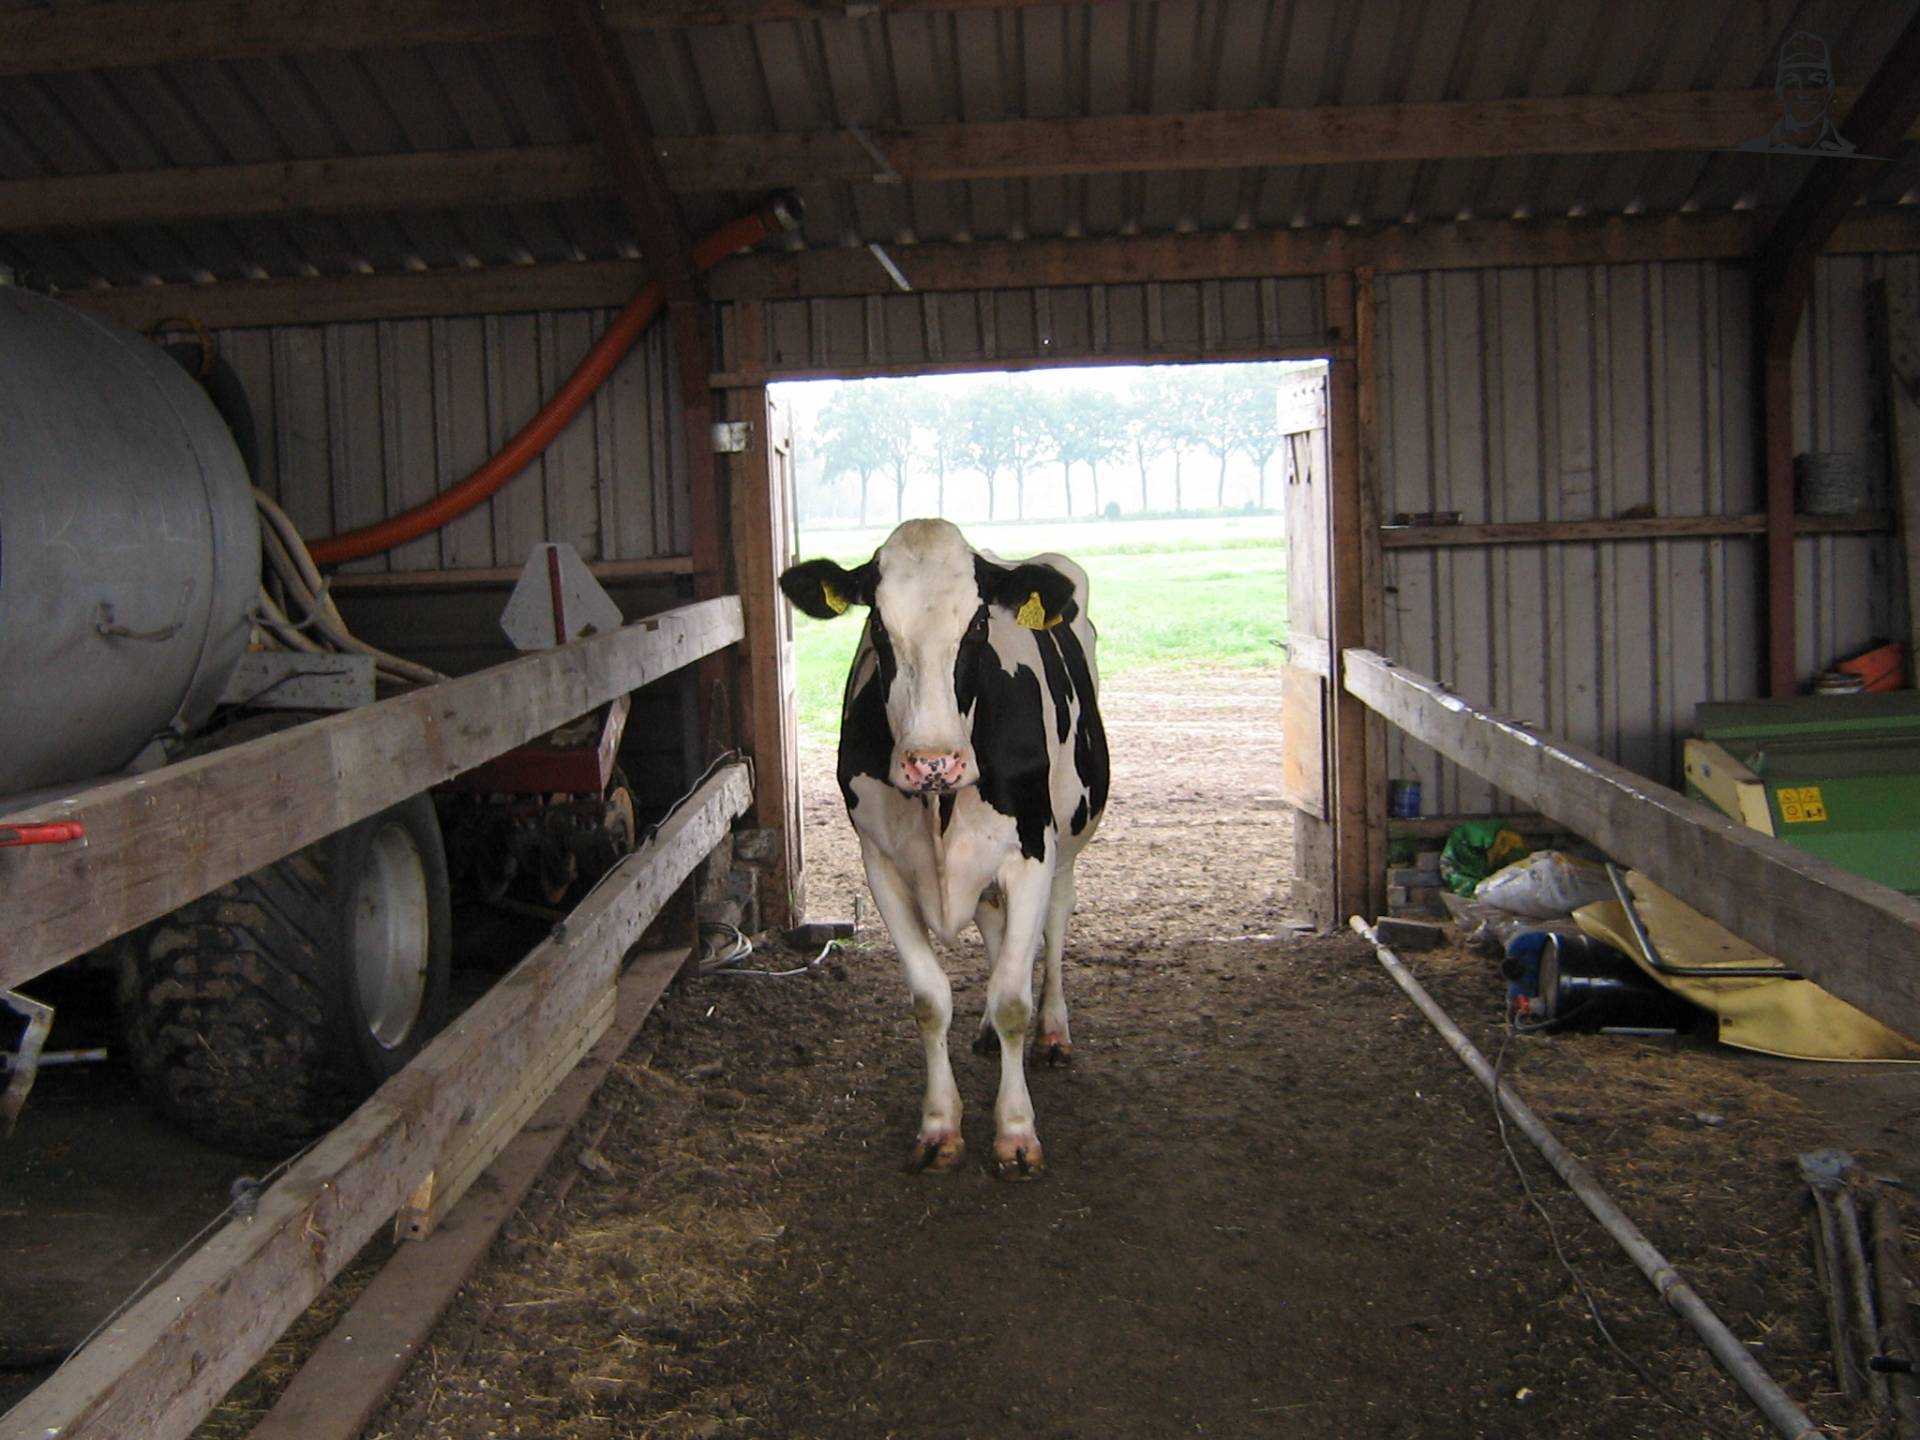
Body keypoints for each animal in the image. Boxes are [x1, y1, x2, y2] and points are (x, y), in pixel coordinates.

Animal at [779, 518, 1109, 1179]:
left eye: (978, 623)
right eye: (878, 624)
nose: (933, 762)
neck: (940, 803)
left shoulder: (1031, 857)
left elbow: (1014, 1000)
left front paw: (1016, 1132)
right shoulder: (880, 863)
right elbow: (930, 1000)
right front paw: (939, 1127)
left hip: (1069, 838)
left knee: (1056, 925)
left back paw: (1054, 1031)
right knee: (993, 929)